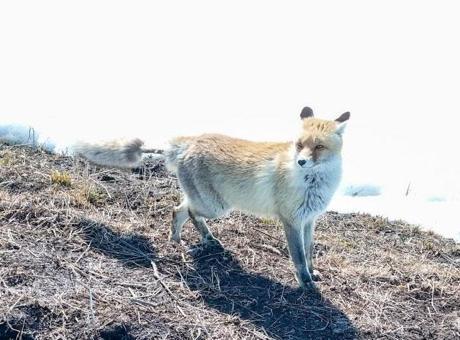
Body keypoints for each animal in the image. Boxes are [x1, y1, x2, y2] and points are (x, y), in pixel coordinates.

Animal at [74, 107, 348, 286]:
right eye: (299, 144)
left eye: (319, 147)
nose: (301, 162)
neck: (314, 184)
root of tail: (191, 140)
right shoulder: (290, 221)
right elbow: (299, 257)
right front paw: (305, 283)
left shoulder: (309, 220)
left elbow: (309, 251)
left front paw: (313, 273)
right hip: (216, 207)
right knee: (188, 212)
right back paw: (205, 239)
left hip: (206, 201)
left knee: (177, 210)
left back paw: (177, 239)